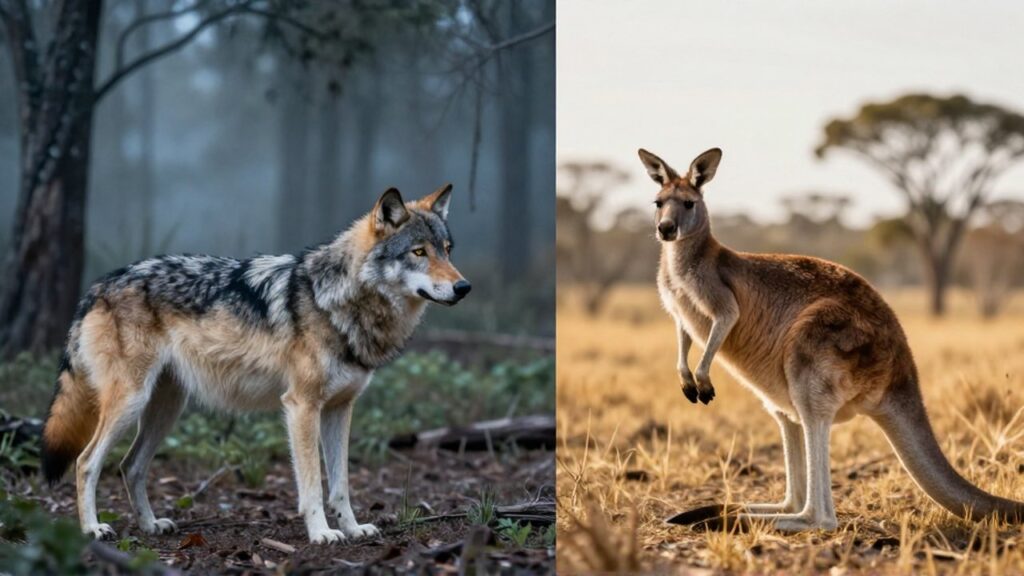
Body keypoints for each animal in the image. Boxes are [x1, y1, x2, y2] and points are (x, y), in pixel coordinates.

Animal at [40, 184, 471, 544]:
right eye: (419, 252)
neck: (337, 302)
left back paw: (150, 525)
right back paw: (93, 529)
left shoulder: (339, 409)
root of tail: (99, 285)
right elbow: (312, 485)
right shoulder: (301, 406)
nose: (464, 287)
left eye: (448, 249)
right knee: (86, 462)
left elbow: (341, 485)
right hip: (130, 403)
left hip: (165, 409)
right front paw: (322, 534)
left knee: (130, 466)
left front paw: (352, 528)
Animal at [639, 147, 1024, 531]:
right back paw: (728, 512)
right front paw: (687, 379)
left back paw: (743, 520)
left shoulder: (720, 296)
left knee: (821, 513)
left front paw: (702, 380)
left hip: (815, 350)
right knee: (792, 470)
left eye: (689, 204)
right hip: (780, 395)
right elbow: (683, 338)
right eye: (658, 202)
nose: (665, 229)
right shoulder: (679, 311)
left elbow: (724, 321)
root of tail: (902, 371)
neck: (685, 257)